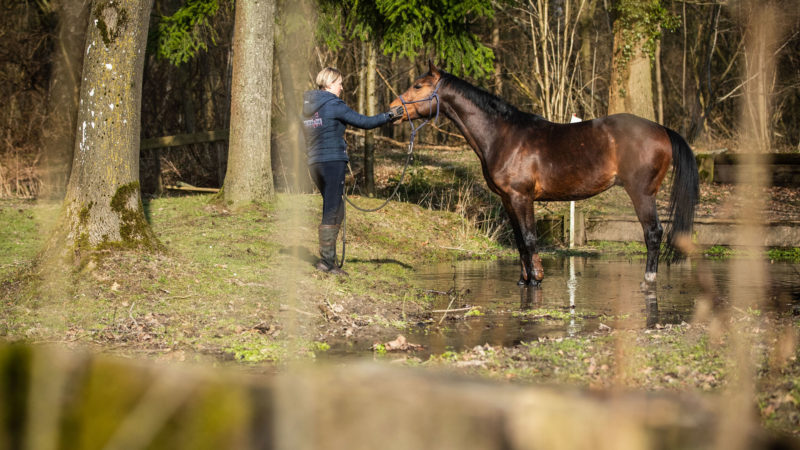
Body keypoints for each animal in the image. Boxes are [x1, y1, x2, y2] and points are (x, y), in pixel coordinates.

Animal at [390, 60, 696, 284]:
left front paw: (536, 279)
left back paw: (649, 279)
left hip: (642, 194)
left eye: (418, 85)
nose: (393, 111)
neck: (503, 135)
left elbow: (529, 238)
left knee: (653, 232)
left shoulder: (521, 197)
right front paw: (524, 279)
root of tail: (661, 129)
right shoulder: (507, 199)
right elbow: (519, 241)